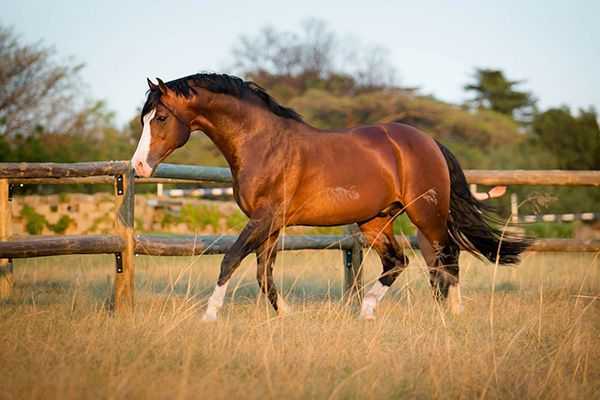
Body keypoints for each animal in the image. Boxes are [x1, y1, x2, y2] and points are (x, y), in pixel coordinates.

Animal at [131, 72, 528, 322]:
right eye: (143, 119)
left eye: (161, 117)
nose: (138, 166)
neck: (263, 143)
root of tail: (428, 141)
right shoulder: (271, 224)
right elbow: (263, 273)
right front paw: (285, 315)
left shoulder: (264, 218)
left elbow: (230, 260)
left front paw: (209, 315)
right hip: (375, 220)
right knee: (399, 262)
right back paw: (366, 312)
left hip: (426, 214)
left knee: (448, 258)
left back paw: (453, 313)